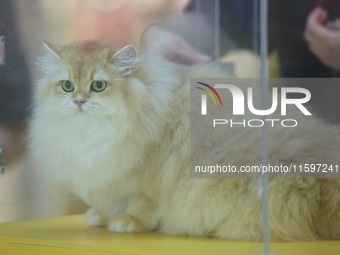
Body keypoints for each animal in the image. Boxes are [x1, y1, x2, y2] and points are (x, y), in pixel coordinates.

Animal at [28, 41, 340, 241]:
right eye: (67, 85)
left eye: (99, 85)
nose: (79, 101)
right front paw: (101, 217)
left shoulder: (141, 180)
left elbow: (141, 206)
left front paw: (128, 223)